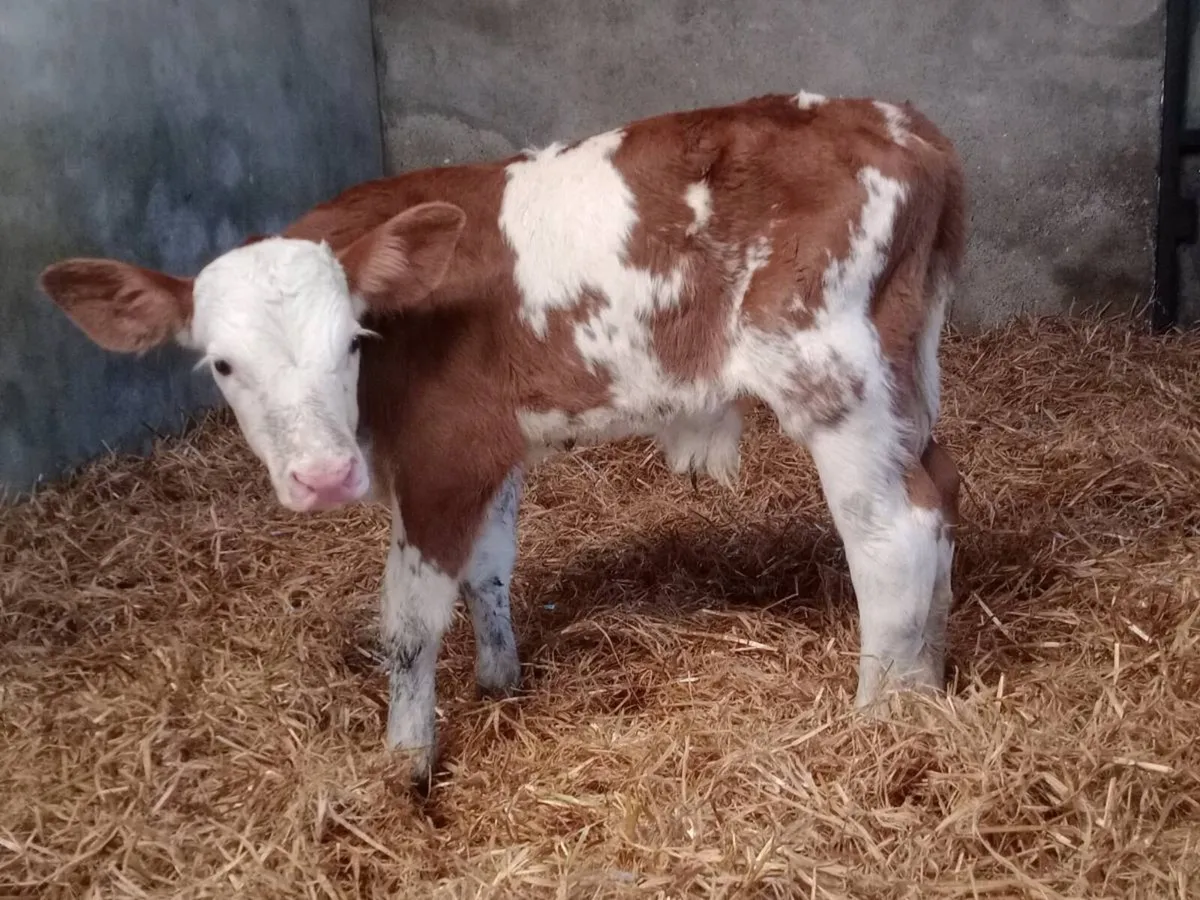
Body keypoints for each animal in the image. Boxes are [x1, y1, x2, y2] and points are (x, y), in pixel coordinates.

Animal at [39, 92, 966, 789]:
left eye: (352, 341)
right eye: (224, 365)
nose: (324, 475)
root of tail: (901, 124)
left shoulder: (442, 455)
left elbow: (410, 621)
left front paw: (407, 761)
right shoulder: (494, 450)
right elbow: (488, 568)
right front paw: (499, 683)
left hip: (832, 377)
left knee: (893, 537)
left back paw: (877, 716)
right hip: (904, 367)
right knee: (941, 494)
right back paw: (928, 681)